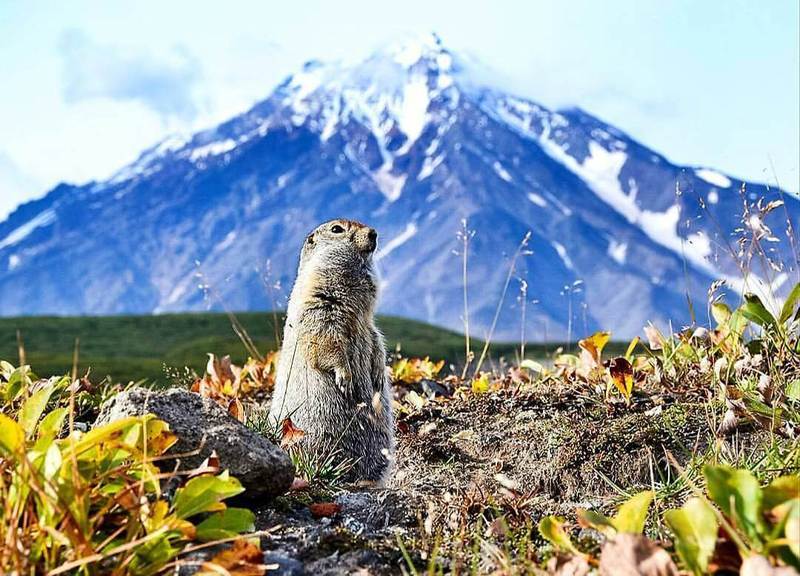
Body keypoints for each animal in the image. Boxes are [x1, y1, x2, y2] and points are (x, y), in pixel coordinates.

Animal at [268, 218, 394, 484]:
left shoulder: (368, 324)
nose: (374, 232)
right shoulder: (319, 305)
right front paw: (345, 378)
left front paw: (379, 373)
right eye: (337, 229)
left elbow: (376, 339)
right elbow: (327, 339)